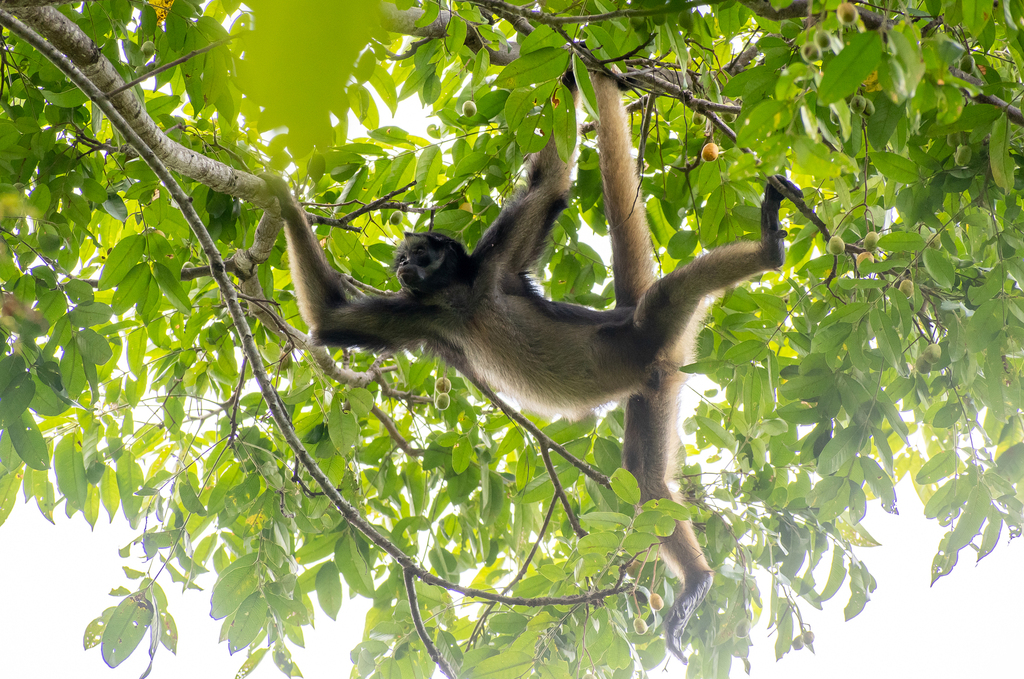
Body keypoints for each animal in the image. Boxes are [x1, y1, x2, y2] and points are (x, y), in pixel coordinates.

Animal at [264, 72, 799, 660]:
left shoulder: (493, 264)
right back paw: (697, 580)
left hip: (646, 335)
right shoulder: (423, 315)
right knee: (645, 478)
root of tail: (628, 324)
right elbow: (331, 319)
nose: (403, 265)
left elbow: (551, 185)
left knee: (666, 298)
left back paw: (768, 250)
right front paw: (280, 196)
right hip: (654, 386)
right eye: (403, 260)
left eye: (419, 254)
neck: (460, 299)